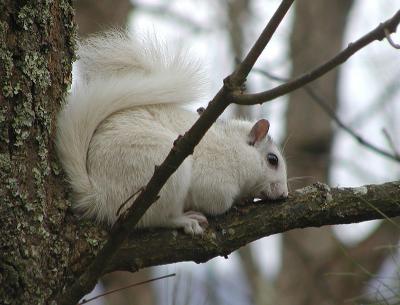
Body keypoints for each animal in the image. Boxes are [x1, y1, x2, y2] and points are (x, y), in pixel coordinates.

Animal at [56, 30, 288, 234]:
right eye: (272, 160)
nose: (284, 194)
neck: (235, 148)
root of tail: (99, 196)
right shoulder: (216, 180)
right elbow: (216, 203)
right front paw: (236, 202)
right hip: (161, 181)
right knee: (155, 218)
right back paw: (185, 220)